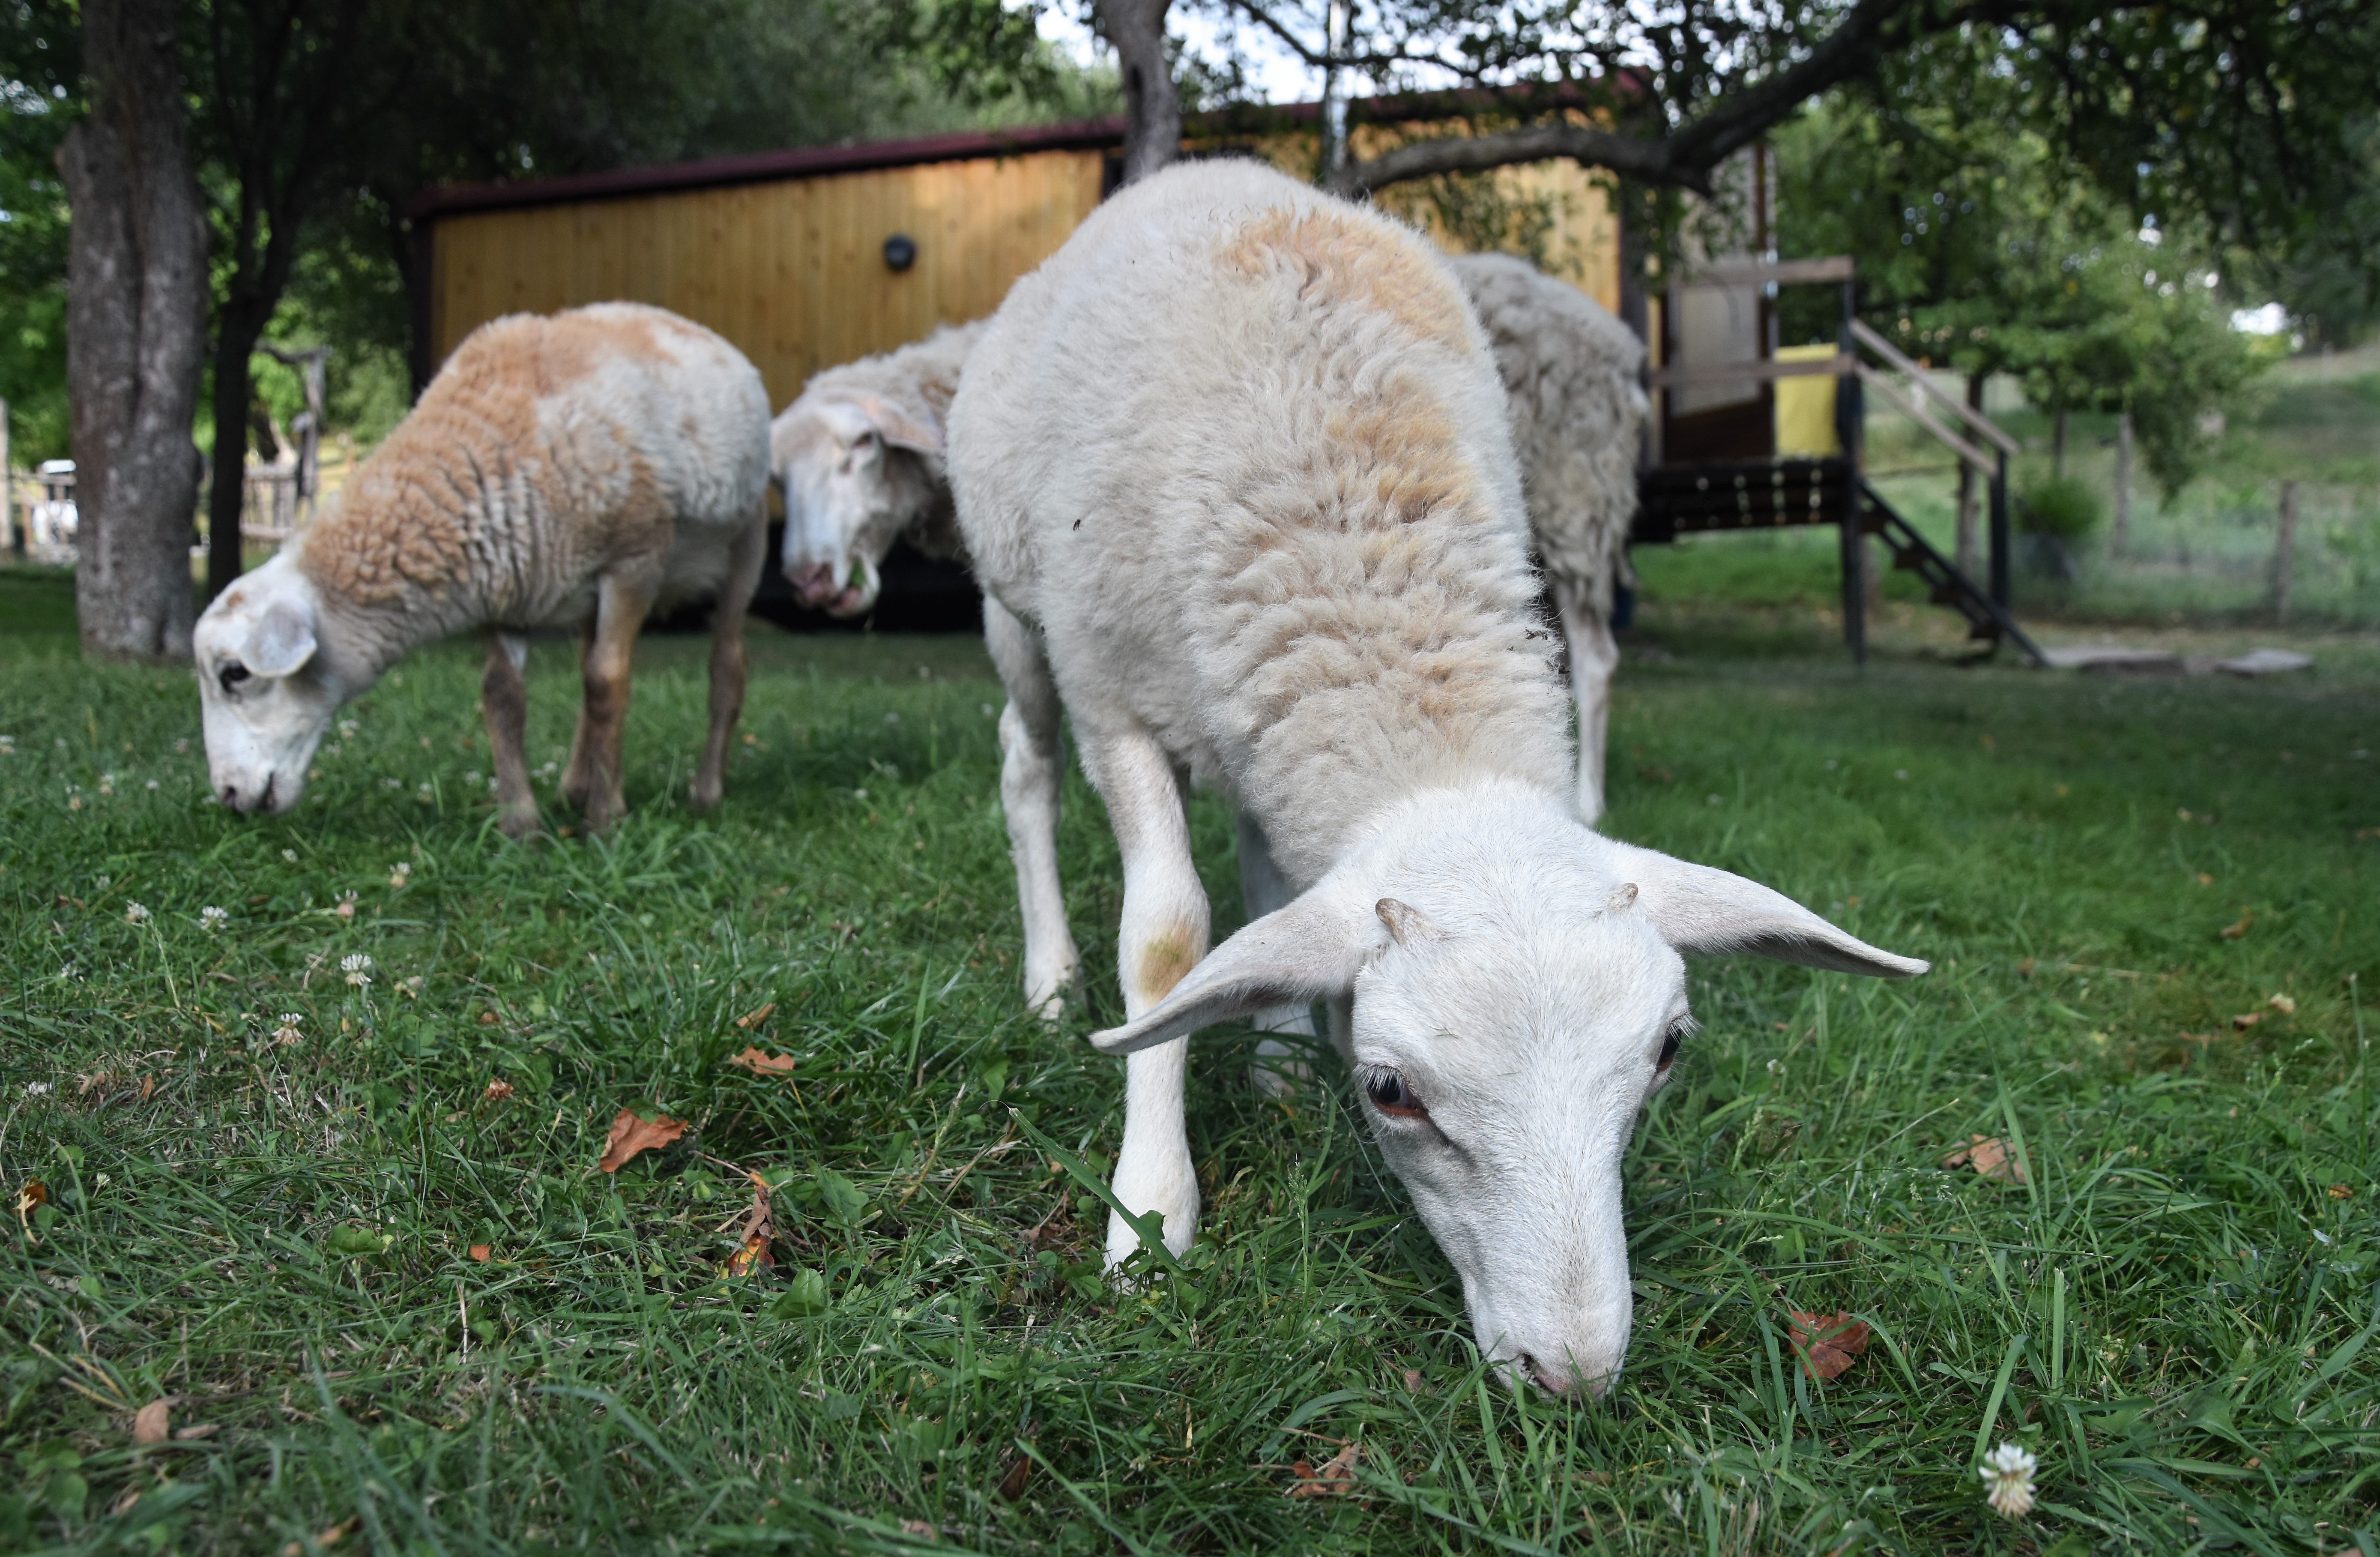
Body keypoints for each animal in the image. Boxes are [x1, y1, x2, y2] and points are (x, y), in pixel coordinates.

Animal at [192, 302, 771, 837]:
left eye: (235, 673)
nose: (228, 795)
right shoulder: (506, 584)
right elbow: (503, 696)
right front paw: (521, 824)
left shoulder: (634, 560)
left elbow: (609, 684)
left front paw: (606, 820)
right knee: (590, 669)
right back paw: (576, 784)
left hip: (747, 538)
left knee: (724, 664)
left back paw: (704, 790)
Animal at [947, 159, 1926, 1397]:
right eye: (1391, 1094)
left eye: (1665, 1055)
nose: (1571, 1375)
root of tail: (1198, 172)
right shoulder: (1113, 693)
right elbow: (1165, 939)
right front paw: (1149, 1208)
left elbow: (1264, 903)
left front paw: (1275, 1059)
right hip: (1022, 614)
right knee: (1023, 766)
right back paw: (1048, 979)